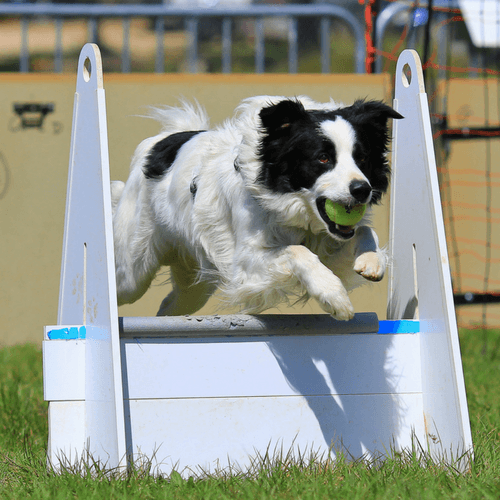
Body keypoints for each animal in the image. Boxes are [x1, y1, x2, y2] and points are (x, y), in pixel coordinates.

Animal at [112, 96, 402, 320]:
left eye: (362, 158)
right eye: (323, 158)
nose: (362, 190)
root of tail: (158, 142)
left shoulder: (328, 242)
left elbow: (365, 231)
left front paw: (370, 260)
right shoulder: (246, 264)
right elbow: (297, 251)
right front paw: (333, 295)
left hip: (193, 284)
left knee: (168, 307)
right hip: (133, 273)